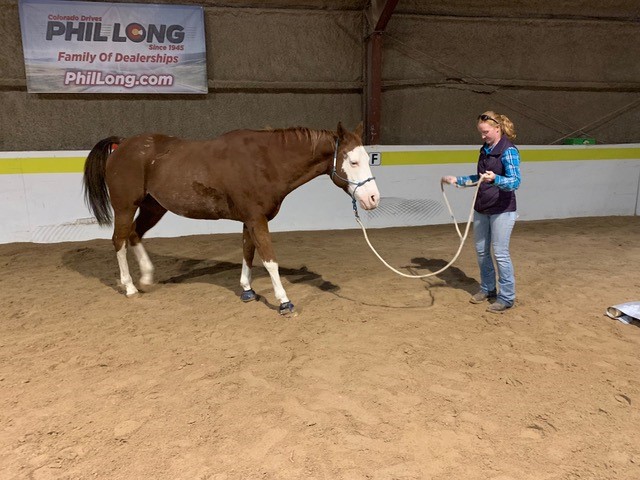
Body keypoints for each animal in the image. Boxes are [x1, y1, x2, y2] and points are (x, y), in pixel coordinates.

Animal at [82, 122, 378, 314]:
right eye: (352, 162)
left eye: (368, 159)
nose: (373, 198)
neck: (265, 161)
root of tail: (122, 145)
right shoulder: (257, 219)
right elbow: (269, 259)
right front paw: (283, 301)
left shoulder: (250, 219)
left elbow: (248, 252)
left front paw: (247, 290)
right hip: (125, 207)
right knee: (119, 240)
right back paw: (129, 286)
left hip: (154, 207)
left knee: (134, 234)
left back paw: (145, 277)